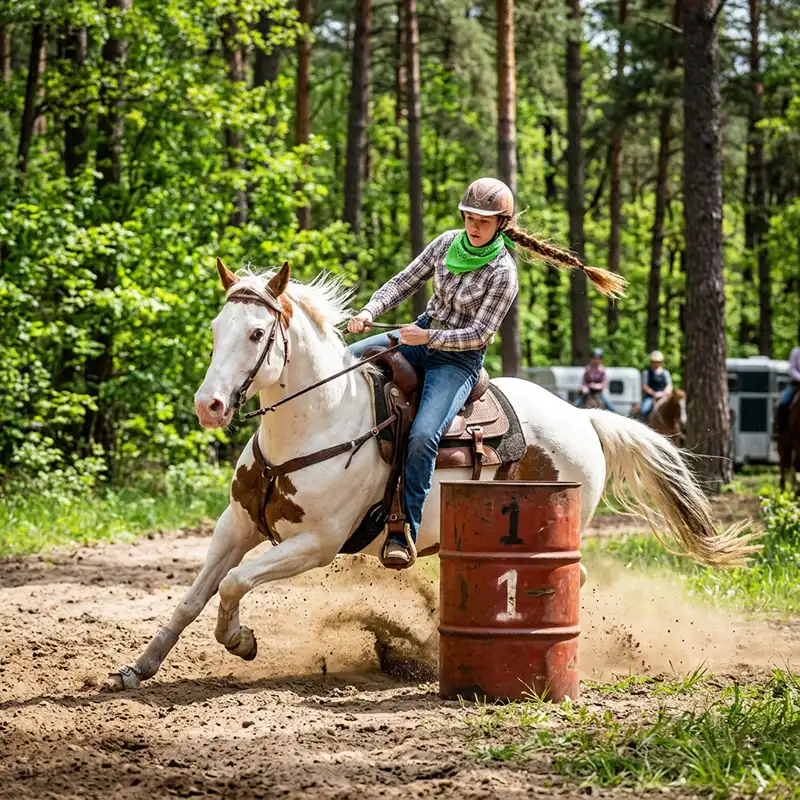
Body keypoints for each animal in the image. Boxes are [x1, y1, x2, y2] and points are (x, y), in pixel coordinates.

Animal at [104, 262, 760, 691]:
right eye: (217, 329)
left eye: (258, 334)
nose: (209, 406)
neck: (315, 422)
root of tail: (583, 417)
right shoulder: (235, 523)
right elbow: (194, 596)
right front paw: (138, 668)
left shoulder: (316, 544)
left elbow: (237, 583)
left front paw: (240, 642)